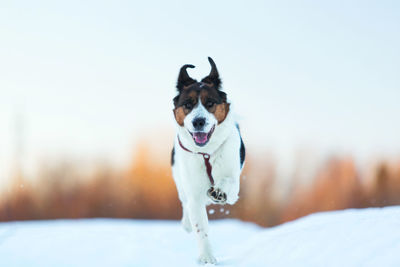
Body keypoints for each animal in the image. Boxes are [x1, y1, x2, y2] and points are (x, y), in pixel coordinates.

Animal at [170, 57, 244, 264]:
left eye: (210, 102)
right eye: (188, 104)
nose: (198, 122)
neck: (207, 153)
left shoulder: (234, 184)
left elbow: (227, 183)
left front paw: (218, 192)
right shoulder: (193, 193)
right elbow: (200, 227)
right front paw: (207, 258)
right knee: (184, 203)